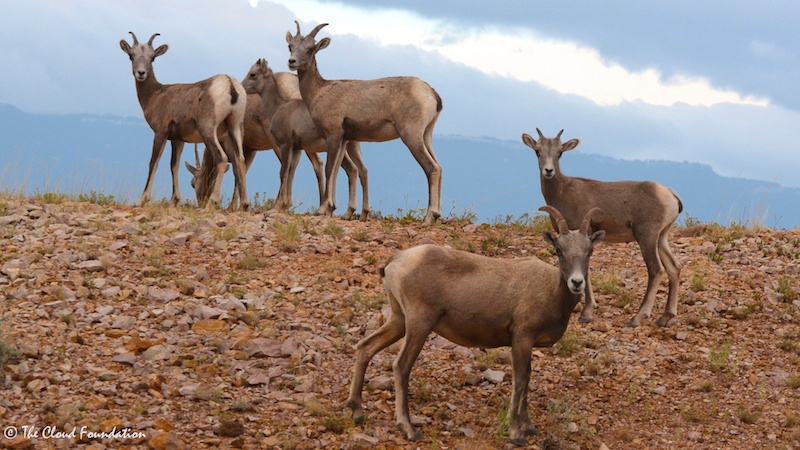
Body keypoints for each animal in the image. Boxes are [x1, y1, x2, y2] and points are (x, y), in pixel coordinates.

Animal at [119, 31, 248, 211]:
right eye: (131, 55)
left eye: (152, 58)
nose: (141, 73)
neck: (155, 95)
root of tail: (230, 84)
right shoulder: (177, 140)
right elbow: (174, 165)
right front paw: (174, 200)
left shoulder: (160, 134)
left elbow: (154, 163)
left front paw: (141, 200)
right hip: (234, 130)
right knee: (239, 161)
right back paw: (245, 205)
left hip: (209, 132)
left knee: (222, 158)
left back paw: (212, 203)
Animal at [242, 58, 370, 220]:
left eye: (253, 74)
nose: (241, 87)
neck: (279, 108)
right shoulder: (297, 148)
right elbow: (291, 172)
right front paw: (285, 205)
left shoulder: (286, 145)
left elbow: (283, 172)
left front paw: (277, 207)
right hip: (349, 148)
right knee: (355, 170)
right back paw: (351, 211)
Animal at [284, 21, 440, 225]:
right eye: (290, 46)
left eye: (311, 49)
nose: (292, 62)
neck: (320, 92)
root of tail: (431, 93)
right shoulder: (344, 139)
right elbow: (339, 170)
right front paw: (334, 209)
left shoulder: (334, 135)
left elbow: (329, 169)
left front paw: (323, 210)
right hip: (426, 136)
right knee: (439, 166)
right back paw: (437, 215)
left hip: (411, 137)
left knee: (431, 168)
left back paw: (429, 217)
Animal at [346, 206, 604, 444]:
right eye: (559, 250)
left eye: (589, 251)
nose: (576, 282)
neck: (550, 291)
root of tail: (395, 262)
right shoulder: (522, 338)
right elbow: (520, 380)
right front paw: (516, 433)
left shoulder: (527, 343)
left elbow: (527, 378)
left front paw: (529, 427)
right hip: (419, 324)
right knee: (401, 366)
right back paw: (409, 429)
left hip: (399, 321)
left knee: (365, 347)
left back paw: (357, 411)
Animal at [520, 128, 684, 326]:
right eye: (537, 151)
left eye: (560, 152)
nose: (548, 170)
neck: (562, 191)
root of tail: (669, 194)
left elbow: (586, 271)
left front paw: (586, 313)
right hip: (661, 238)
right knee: (674, 267)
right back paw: (665, 317)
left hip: (647, 237)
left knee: (656, 270)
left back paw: (637, 318)